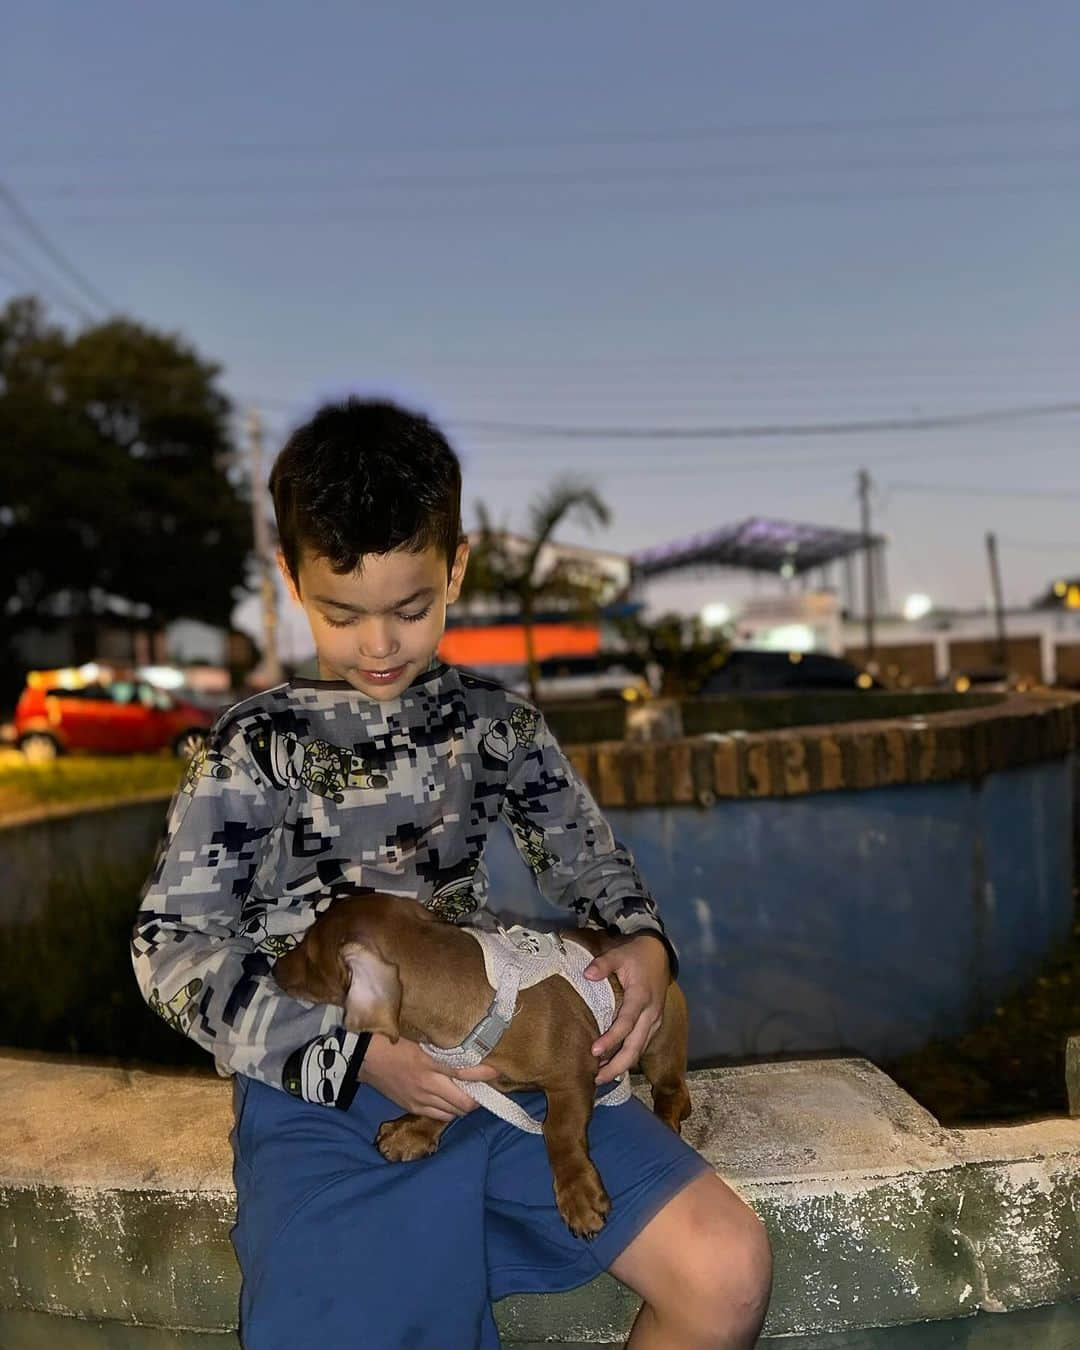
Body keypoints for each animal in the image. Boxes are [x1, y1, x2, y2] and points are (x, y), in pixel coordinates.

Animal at [272, 891, 691, 1236]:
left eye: (309, 955)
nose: (274, 968)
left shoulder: (572, 1077)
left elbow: (559, 1132)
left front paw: (578, 1194)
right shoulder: (467, 1076)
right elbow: (443, 1105)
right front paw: (414, 1132)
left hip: (657, 1040)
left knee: (674, 1091)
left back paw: (667, 1117)